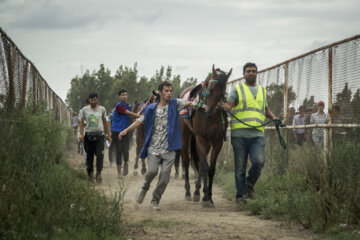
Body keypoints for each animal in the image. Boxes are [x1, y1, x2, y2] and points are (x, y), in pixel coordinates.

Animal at [180, 64, 233, 207]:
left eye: (223, 91)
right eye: (211, 89)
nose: (209, 113)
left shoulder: (217, 141)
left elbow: (211, 168)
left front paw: (209, 196)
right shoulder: (201, 139)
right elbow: (204, 166)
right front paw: (205, 198)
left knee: (199, 162)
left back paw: (197, 191)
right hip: (186, 135)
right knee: (187, 161)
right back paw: (188, 192)